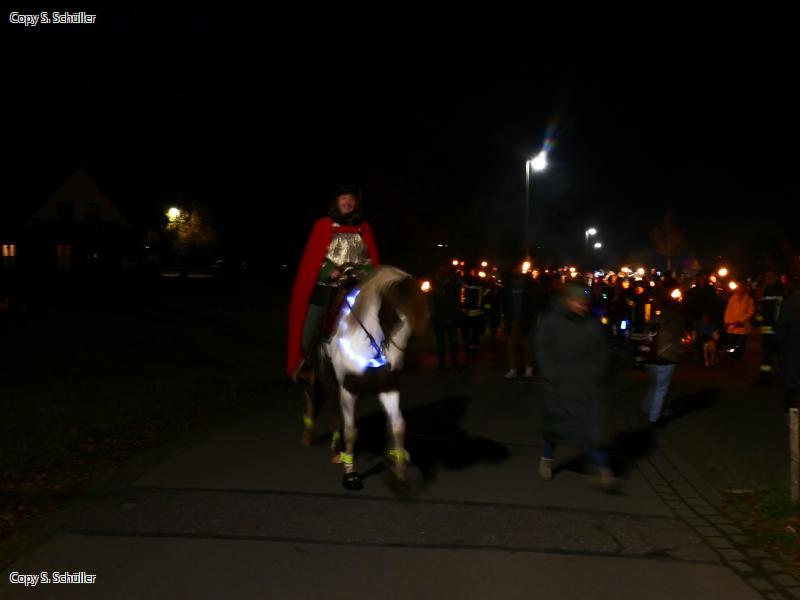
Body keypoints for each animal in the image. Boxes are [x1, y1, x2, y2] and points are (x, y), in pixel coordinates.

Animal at [322, 266, 427, 490]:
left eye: (420, 317)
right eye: (393, 316)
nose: (395, 365)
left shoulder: (388, 387)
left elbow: (398, 426)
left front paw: (399, 470)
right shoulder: (348, 389)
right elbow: (351, 431)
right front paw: (351, 475)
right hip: (329, 378)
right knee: (334, 410)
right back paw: (336, 450)